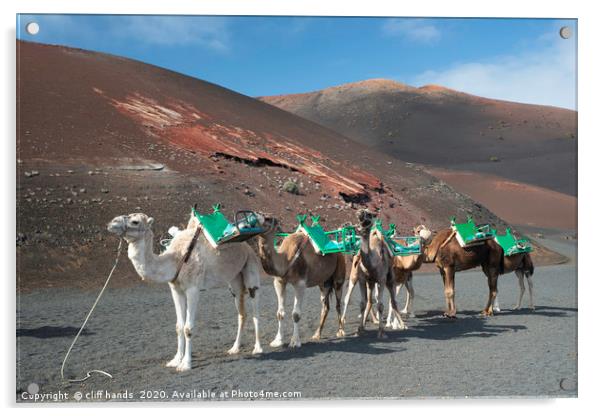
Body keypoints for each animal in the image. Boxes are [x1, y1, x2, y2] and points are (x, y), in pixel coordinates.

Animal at [106, 213, 264, 372]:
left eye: (135, 221)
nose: (111, 223)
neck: (175, 259)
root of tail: (248, 247)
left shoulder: (193, 289)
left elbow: (188, 328)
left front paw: (186, 364)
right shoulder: (176, 290)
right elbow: (179, 327)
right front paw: (175, 360)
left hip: (251, 267)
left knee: (255, 309)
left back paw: (257, 348)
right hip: (234, 280)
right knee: (242, 312)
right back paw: (234, 348)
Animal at [255, 216, 344, 350]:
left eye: (267, 219)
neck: (287, 259)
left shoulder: (300, 284)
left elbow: (296, 314)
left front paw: (295, 342)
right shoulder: (279, 282)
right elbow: (279, 313)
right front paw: (277, 341)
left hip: (339, 276)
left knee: (338, 303)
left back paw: (341, 331)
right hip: (323, 282)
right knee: (325, 306)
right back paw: (317, 334)